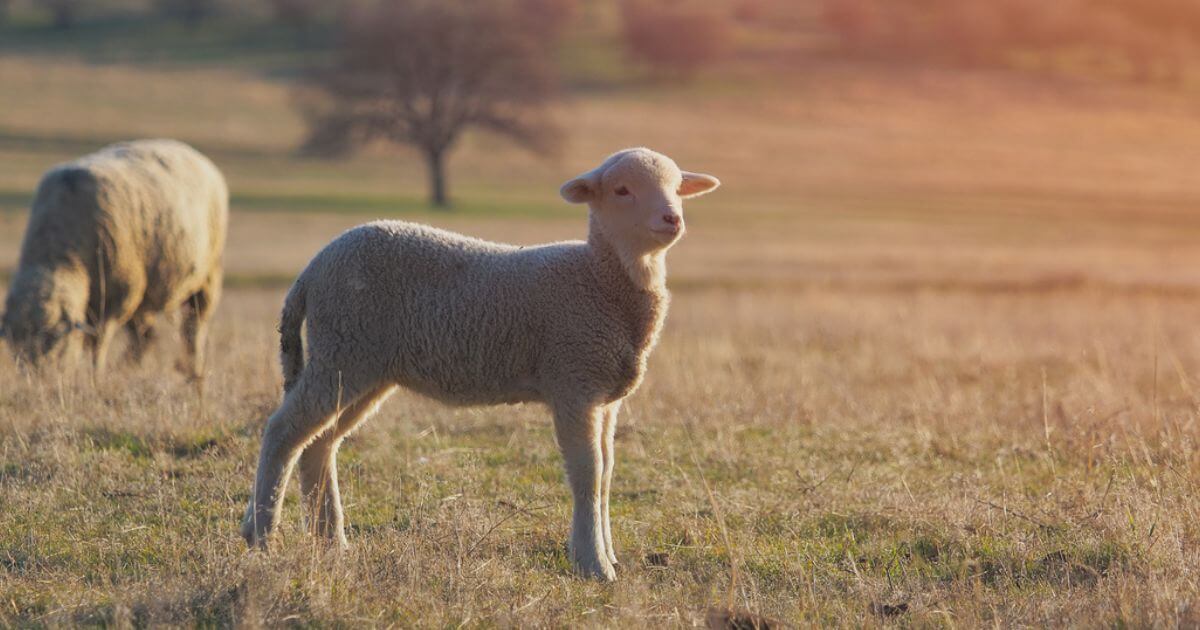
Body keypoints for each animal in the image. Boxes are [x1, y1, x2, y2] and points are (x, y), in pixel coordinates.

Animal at [0, 139, 228, 377]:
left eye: (55, 343)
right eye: (14, 349)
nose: (40, 380)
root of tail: (190, 151)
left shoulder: (118, 296)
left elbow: (98, 340)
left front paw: (96, 373)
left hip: (209, 275)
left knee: (193, 329)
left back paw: (194, 371)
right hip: (147, 294)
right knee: (145, 337)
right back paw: (130, 368)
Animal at [240, 147, 719, 580]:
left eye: (677, 187)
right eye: (622, 190)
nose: (672, 219)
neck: (600, 278)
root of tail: (313, 268)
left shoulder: (604, 396)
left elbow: (606, 473)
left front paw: (609, 554)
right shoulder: (573, 381)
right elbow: (588, 472)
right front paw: (593, 564)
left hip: (362, 365)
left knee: (319, 443)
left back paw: (331, 541)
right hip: (343, 350)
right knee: (283, 431)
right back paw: (263, 535)